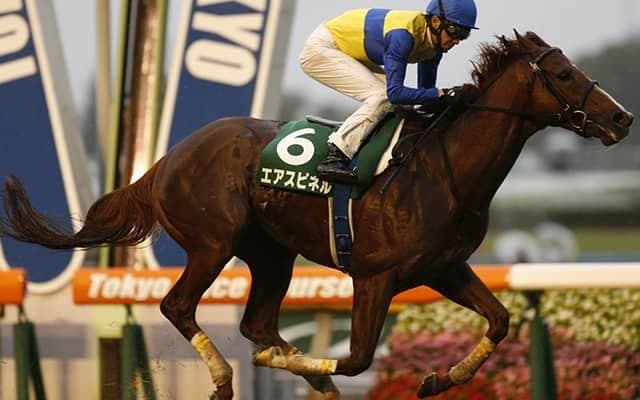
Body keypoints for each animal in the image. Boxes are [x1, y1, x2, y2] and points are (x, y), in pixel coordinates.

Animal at [0, 31, 633, 399]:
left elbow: (499, 320)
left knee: (257, 324)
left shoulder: (443, 268)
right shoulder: (375, 276)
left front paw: (440, 378)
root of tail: (166, 159)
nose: (622, 118)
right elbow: (356, 360)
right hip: (213, 243)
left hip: (272, 254)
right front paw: (315, 370)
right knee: (180, 306)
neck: (442, 169)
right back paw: (229, 379)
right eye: (565, 74)